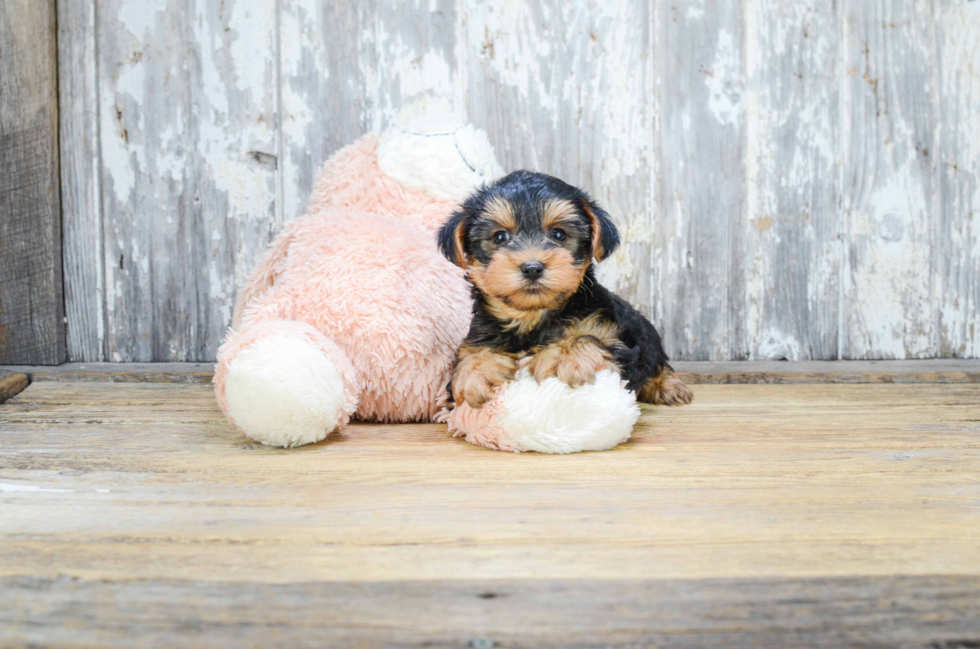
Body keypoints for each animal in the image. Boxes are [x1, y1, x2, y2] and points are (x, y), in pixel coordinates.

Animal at [440, 170, 692, 408]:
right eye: (500, 237)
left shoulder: (617, 337)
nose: (532, 268)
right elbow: (473, 349)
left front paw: (564, 356)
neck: (533, 317)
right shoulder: (481, 332)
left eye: (559, 234)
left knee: (656, 361)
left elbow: (590, 337)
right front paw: (476, 370)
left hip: (646, 333)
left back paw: (668, 385)